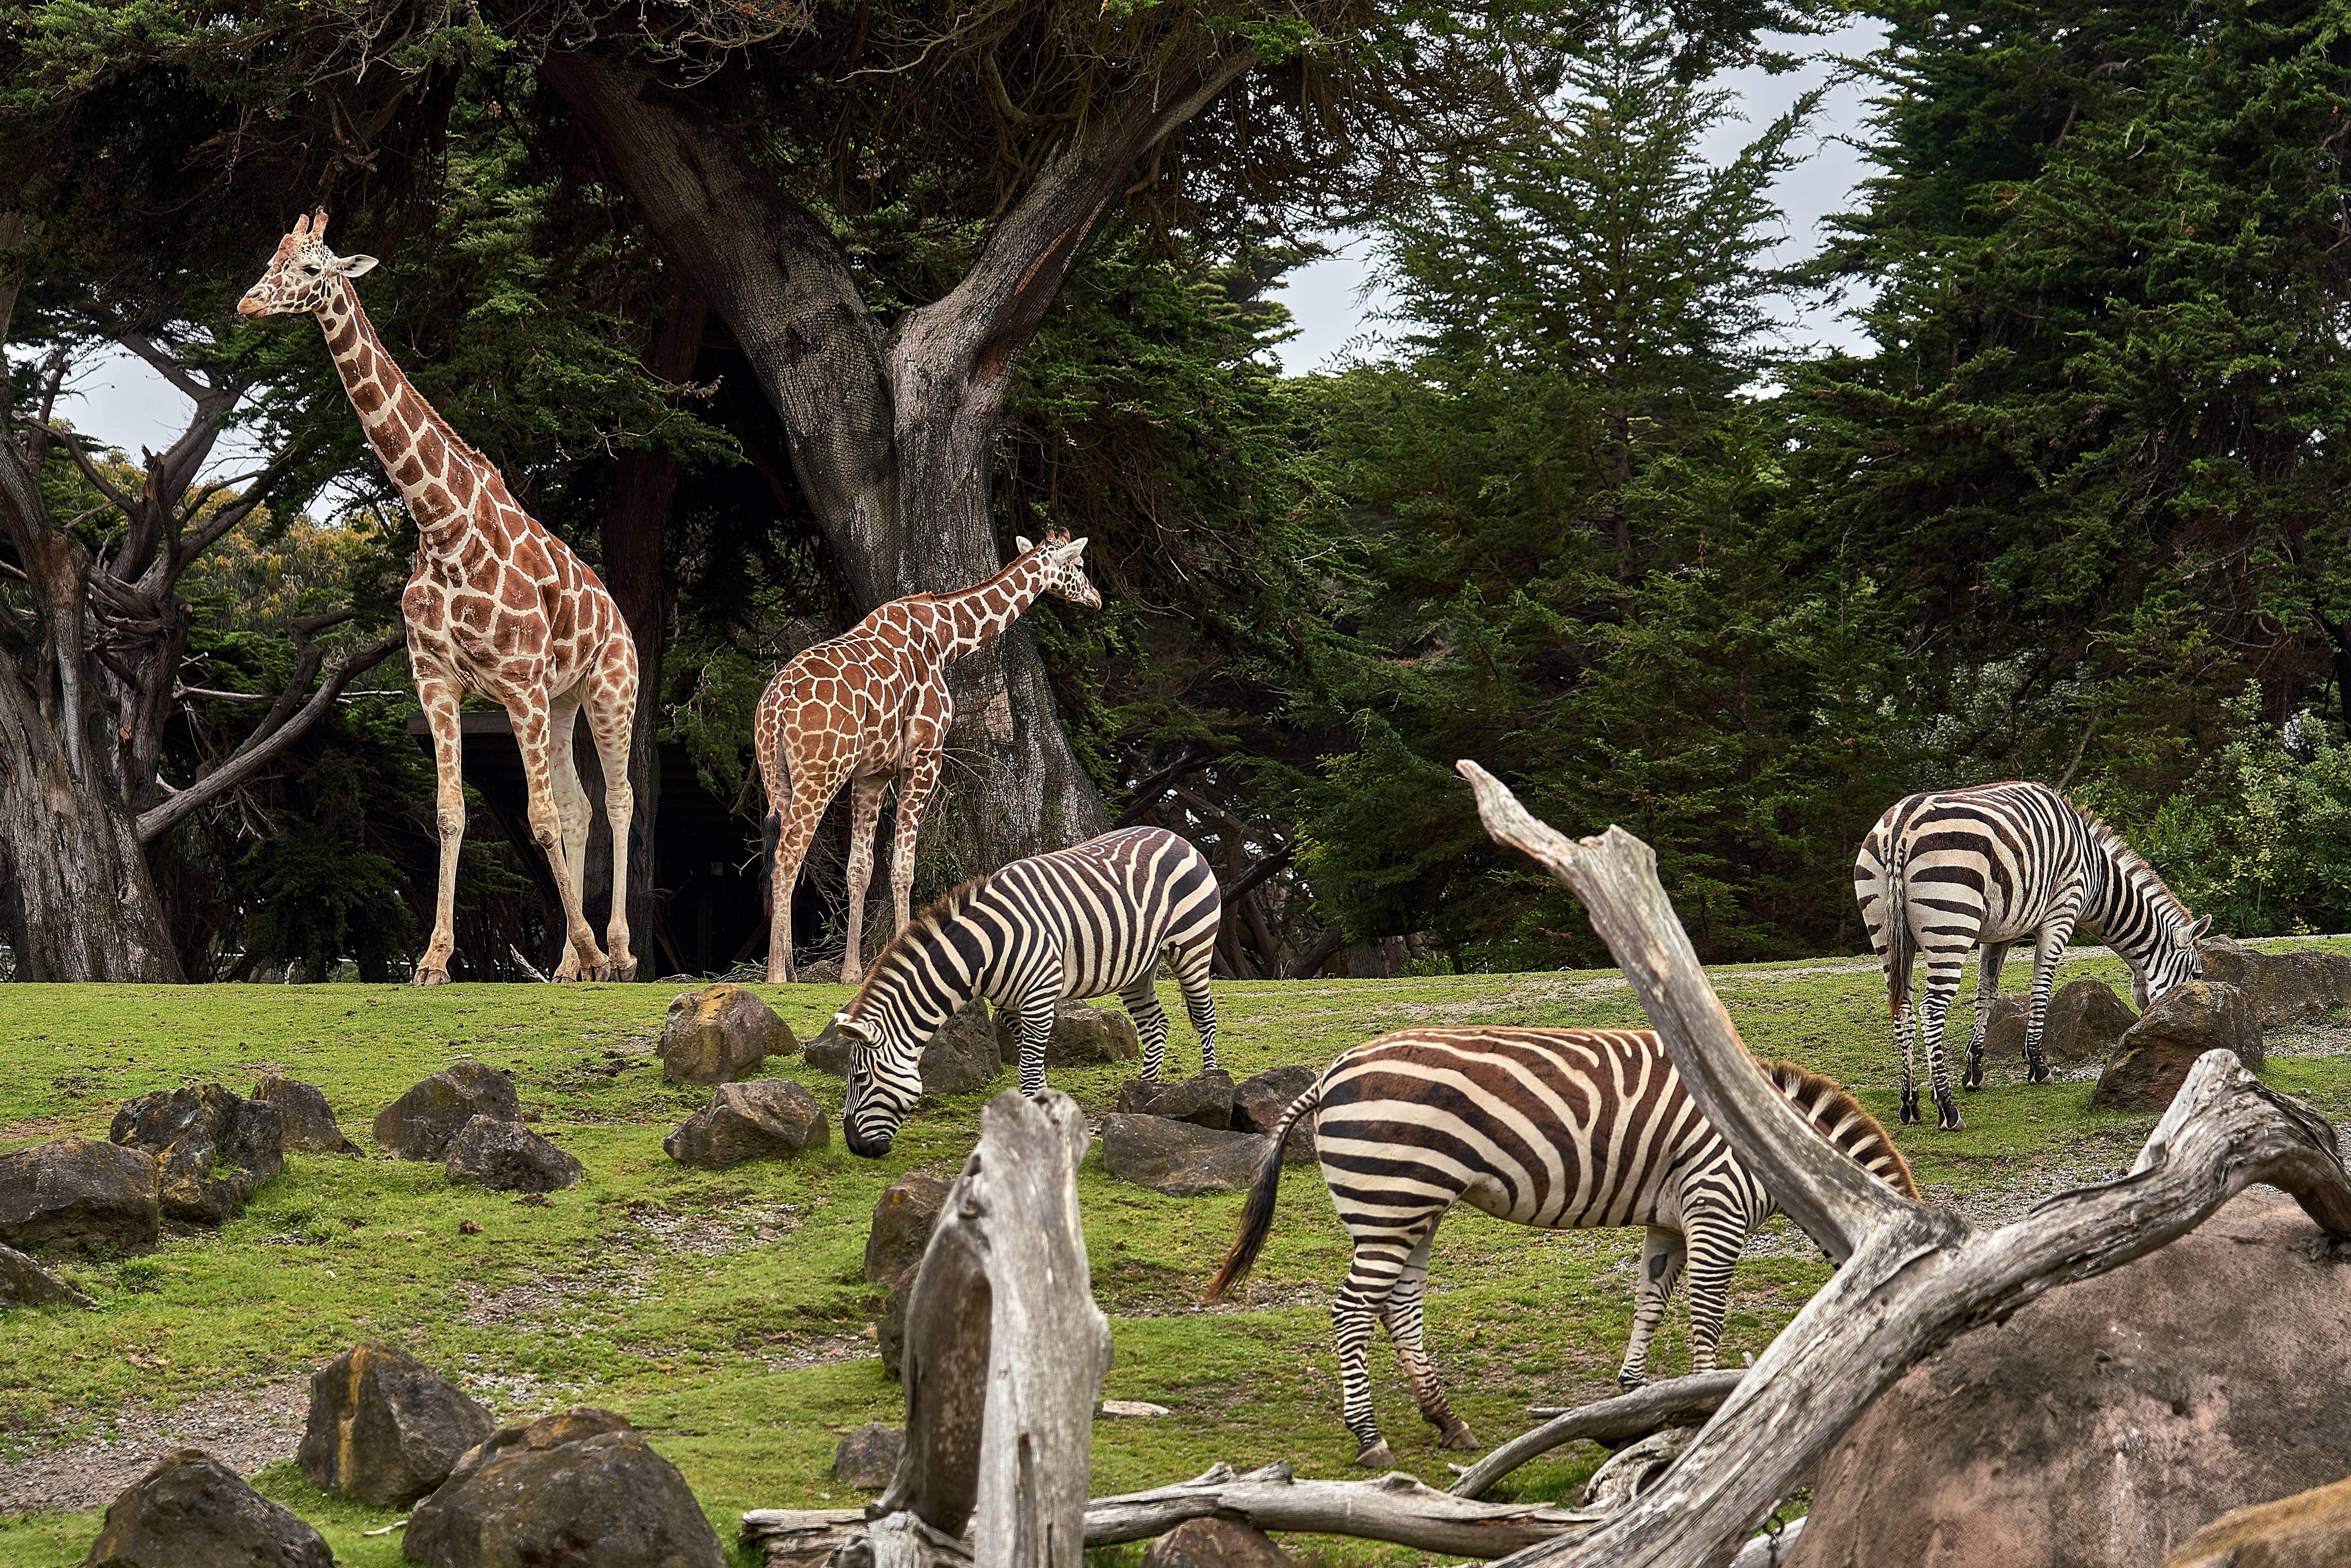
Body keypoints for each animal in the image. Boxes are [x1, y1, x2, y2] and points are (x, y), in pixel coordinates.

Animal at [235, 215, 639, 987]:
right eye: (270, 257)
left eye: (311, 269)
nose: (247, 304)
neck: (442, 524)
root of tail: (619, 616)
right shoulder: (437, 679)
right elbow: (454, 811)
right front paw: (433, 959)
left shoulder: (517, 682)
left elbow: (540, 816)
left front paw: (588, 947)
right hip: (564, 697)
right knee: (581, 804)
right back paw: (573, 964)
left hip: (611, 687)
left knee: (617, 796)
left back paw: (618, 951)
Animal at [762, 533, 1109, 987]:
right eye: (1080, 565)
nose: (1097, 598)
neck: (947, 638)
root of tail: (776, 704)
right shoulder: (924, 757)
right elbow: (904, 868)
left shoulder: (873, 772)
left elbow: (860, 869)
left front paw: (852, 972)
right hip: (820, 774)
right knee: (788, 856)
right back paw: (775, 974)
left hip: (778, 775)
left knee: (779, 855)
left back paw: (788, 967)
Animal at [827, 827, 1222, 1161]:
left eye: (860, 1079)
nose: (855, 1147)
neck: (983, 949)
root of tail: (1175, 836)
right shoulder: (1009, 1006)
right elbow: (1031, 1065)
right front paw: (1044, 1116)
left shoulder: (1039, 999)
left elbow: (1029, 1070)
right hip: (1138, 966)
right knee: (1155, 1024)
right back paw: (1146, 1091)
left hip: (1193, 945)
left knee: (1205, 1015)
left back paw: (1209, 1087)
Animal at [1213, 1030, 1909, 1476]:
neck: (1783, 1149)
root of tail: (1331, 1073)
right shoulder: (1717, 1206)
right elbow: (1707, 1313)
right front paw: (1712, 1403)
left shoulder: (1670, 1220)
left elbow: (1651, 1298)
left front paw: (1636, 1391)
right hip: (1392, 1197)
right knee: (1354, 1311)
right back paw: (1370, 1435)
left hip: (1411, 1207)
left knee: (1399, 1306)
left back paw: (1446, 1420)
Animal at [1852, 780, 2200, 1128]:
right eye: (2197, 977)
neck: (2097, 873)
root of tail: (1900, 827)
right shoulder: (2061, 915)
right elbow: (2041, 991)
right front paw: (2038, 1066)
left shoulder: (1998, 934)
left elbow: (1987, 994)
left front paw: (1974, 1071)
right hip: (1950, 925)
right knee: (1931, 1010)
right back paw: (1947, 1108)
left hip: (1887, 934)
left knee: (1904, 1009)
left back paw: (1910, 1103)